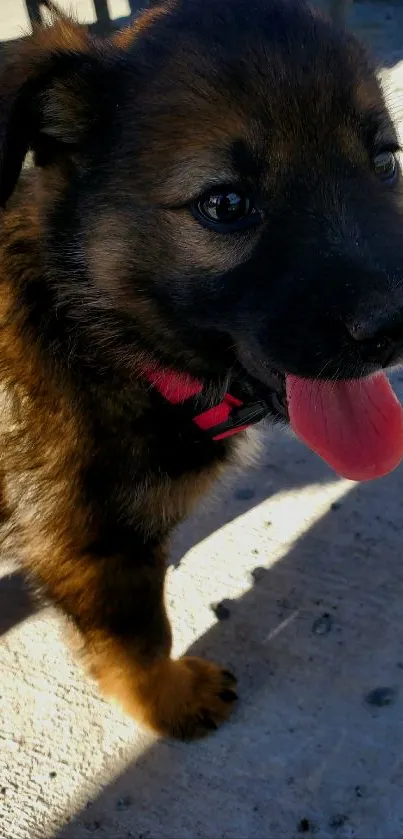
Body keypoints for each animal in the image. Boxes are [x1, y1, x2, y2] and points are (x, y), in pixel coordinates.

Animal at [0, 0, 403, 740]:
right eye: (225, 205)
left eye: (385, 160)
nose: (396, 328)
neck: (100, 336)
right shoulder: (93, 547)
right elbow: (139, 638)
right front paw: (168, 701)